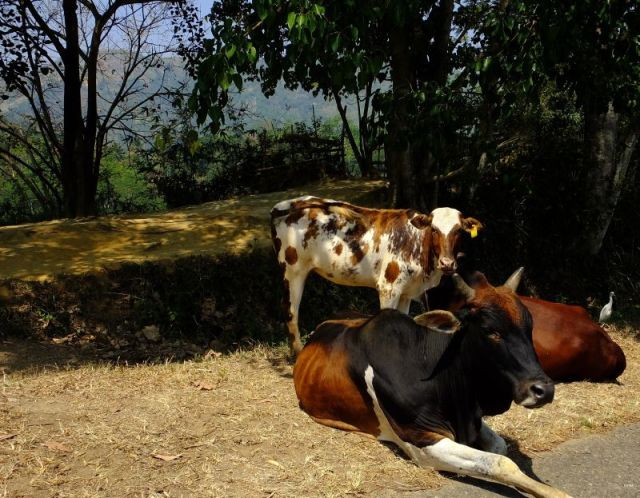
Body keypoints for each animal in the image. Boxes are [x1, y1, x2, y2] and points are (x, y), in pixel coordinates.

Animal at [270, 196, 483, 354]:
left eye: (459, 231)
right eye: (434, 229)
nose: (447, 263)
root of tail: (286, 204)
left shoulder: (406, 292)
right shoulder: (389, 287)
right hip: (293, 270)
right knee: (290, 310)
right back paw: (297, 353)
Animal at [293, 270, 569, 498]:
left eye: (530, 327)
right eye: (490, 331)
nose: (543, 390)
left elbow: (500, 448)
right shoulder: (423, 441)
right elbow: (500, 462)